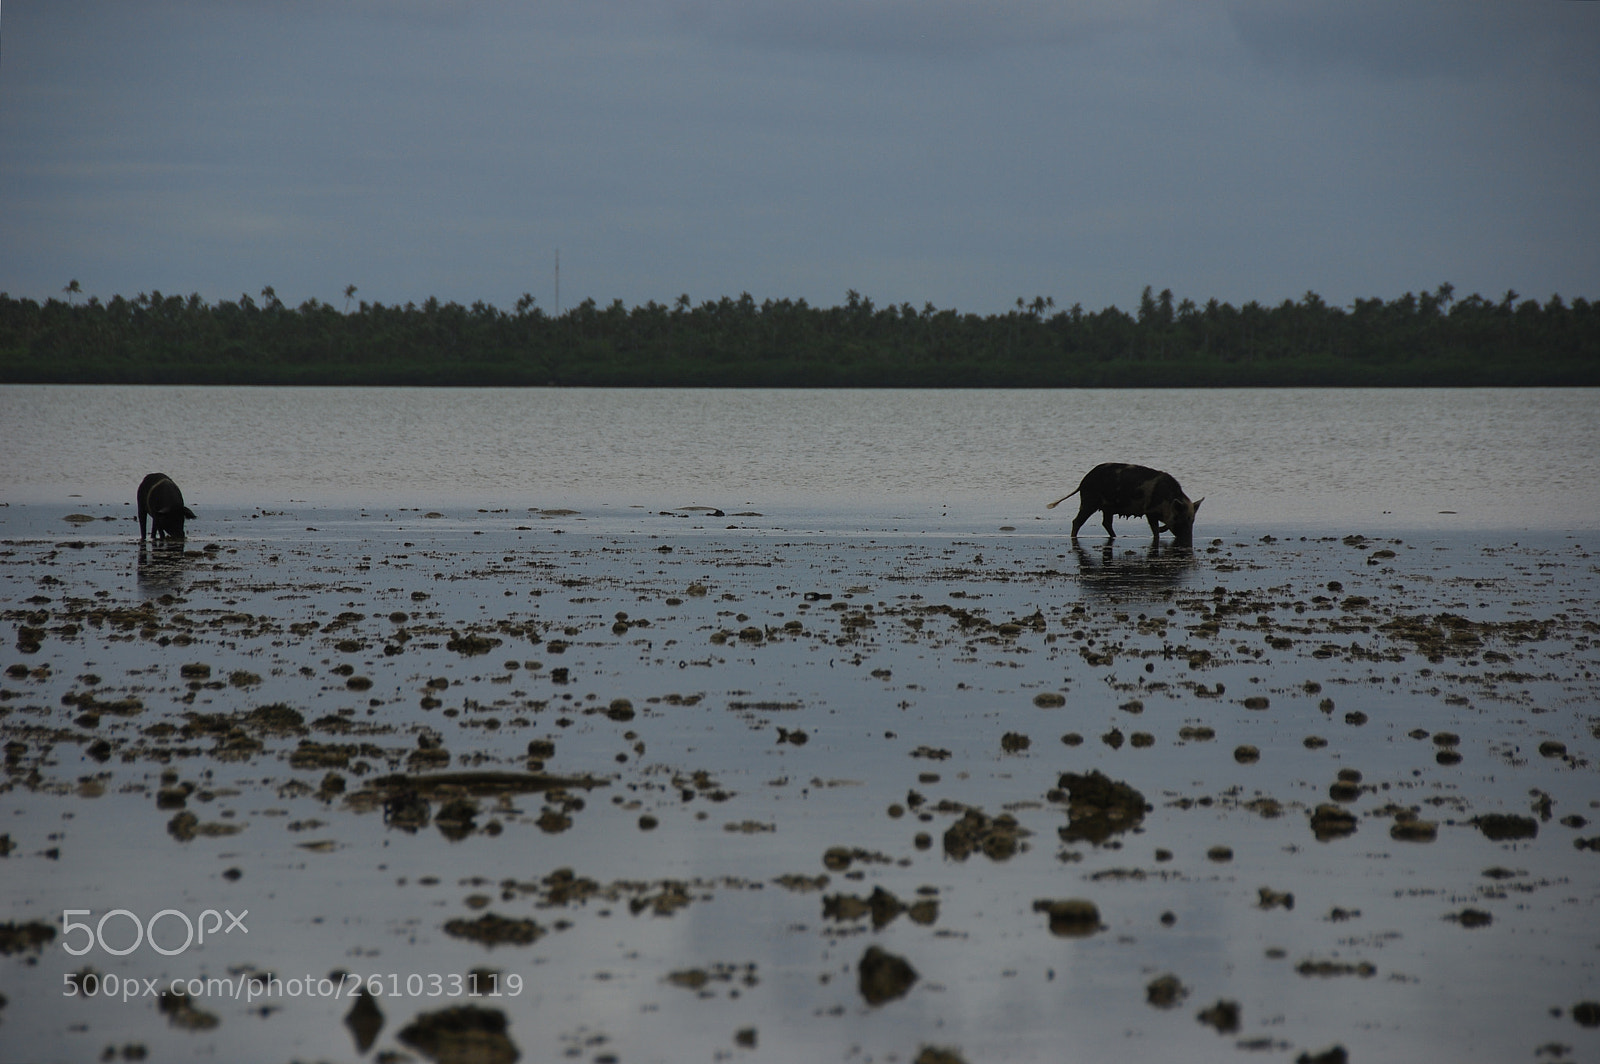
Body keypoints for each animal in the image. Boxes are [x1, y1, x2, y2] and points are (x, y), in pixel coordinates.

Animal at [1047, 463, 1202, 544]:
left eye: (1192, 520)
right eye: (1179, 518)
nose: (1188, 540)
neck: (1167, 500)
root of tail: (1083, 482)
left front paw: (1161, 529)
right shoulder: (1150, 511)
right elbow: (1154, 529)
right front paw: (1158, 532)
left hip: (1107, 508)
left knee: (1106, 523)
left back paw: (1116, 536)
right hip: (1089, 502)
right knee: (1077, 521)